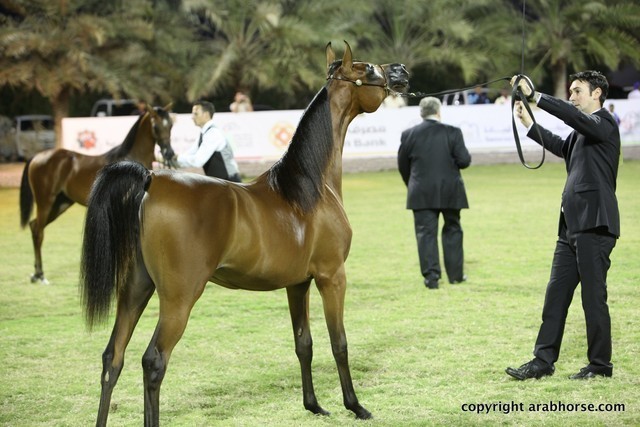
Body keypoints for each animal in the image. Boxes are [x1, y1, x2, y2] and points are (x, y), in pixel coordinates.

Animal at [20, 104, 176, 285]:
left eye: (170, 125)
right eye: (156, 126)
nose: (169, 153)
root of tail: (37, 156)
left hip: (60, 205)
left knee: (34, 226)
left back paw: (36, 274)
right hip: (45, 202)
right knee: (38, 231)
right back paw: (41, 275)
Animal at [80, 42, 409, 425]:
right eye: (366, 68)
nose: (400, 71)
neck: (309, 189)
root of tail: (150, 178)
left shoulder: (298, 284)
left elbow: (304, 344)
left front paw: (313, 405)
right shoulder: (332, 277)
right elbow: (338, 342)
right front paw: (355, 406)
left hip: (136, 288)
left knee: (112, 358)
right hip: (178, 298)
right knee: (153, 362)